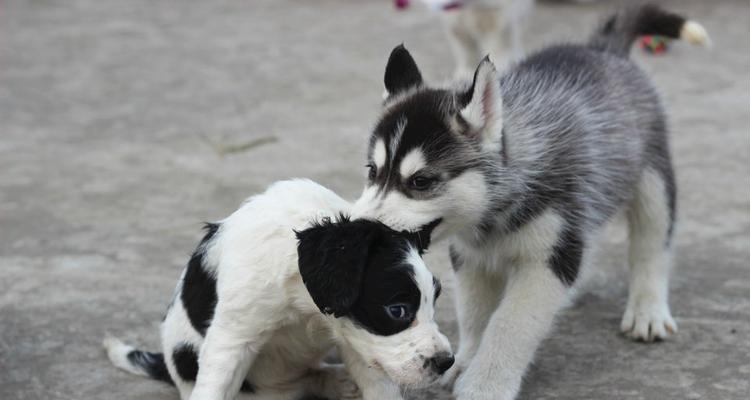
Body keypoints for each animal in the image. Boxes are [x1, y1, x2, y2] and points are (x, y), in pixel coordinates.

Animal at [103, 179, 456, 400]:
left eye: (434, 302)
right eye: (397, 311)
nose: (446, 362)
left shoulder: (359, 341)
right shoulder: (233, 338)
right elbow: (214, 387)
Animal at [352, 3, 712, 400]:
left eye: (421, 181)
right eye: (372, 171)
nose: (354, 228)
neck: (492, 213)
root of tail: (602, 49)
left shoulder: (550, 256)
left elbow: (511, 323)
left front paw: (486, 383)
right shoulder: (471, 256)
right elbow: (474, 312)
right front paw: (466, 360)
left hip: (652, 179)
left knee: (652, 243)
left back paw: (648, 310)